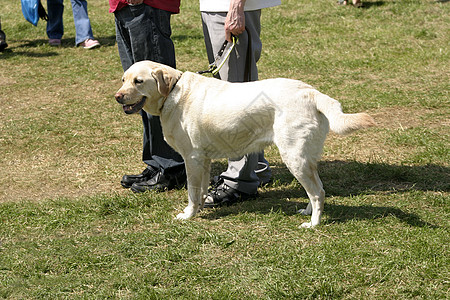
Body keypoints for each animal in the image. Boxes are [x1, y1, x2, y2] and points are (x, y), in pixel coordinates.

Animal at [114, 61, 374, 227]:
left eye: (139, 81)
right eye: (124, 80)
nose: (117, 96)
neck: (173, 92)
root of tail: (312, 93)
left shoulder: (192, 158)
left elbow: (192, 192)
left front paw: (188, 215)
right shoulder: (204, 160)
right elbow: (201, 191)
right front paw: (200, 209)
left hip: (294, 158)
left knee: (318, 192)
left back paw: (313, 224)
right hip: (305, 159)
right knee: (315, 190)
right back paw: (307, 212)